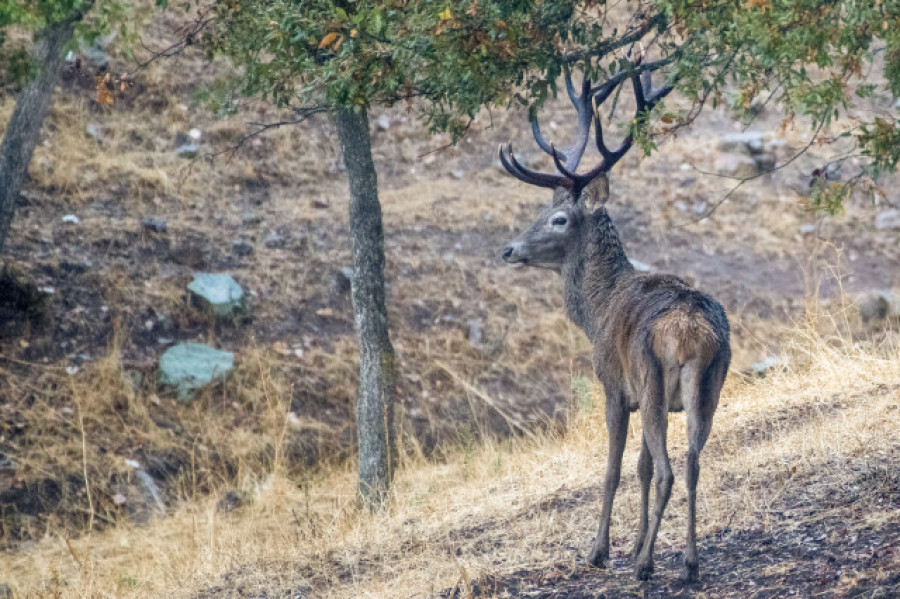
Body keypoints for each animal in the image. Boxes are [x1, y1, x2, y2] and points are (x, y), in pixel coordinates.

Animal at [496, 63, 736, 584]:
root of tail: (688, 332)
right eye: (541, 211)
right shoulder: (653, 396)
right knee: (691, 463)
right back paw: (689, 561)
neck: (597, 310)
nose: (509, 249)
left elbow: (612, 469)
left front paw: (602, 550)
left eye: (559, 218)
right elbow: (641, 467)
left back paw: (646, 566)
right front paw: (637, 542)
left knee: (669, 470)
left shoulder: (614, 385)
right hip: (709, 384)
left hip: (651, 377)